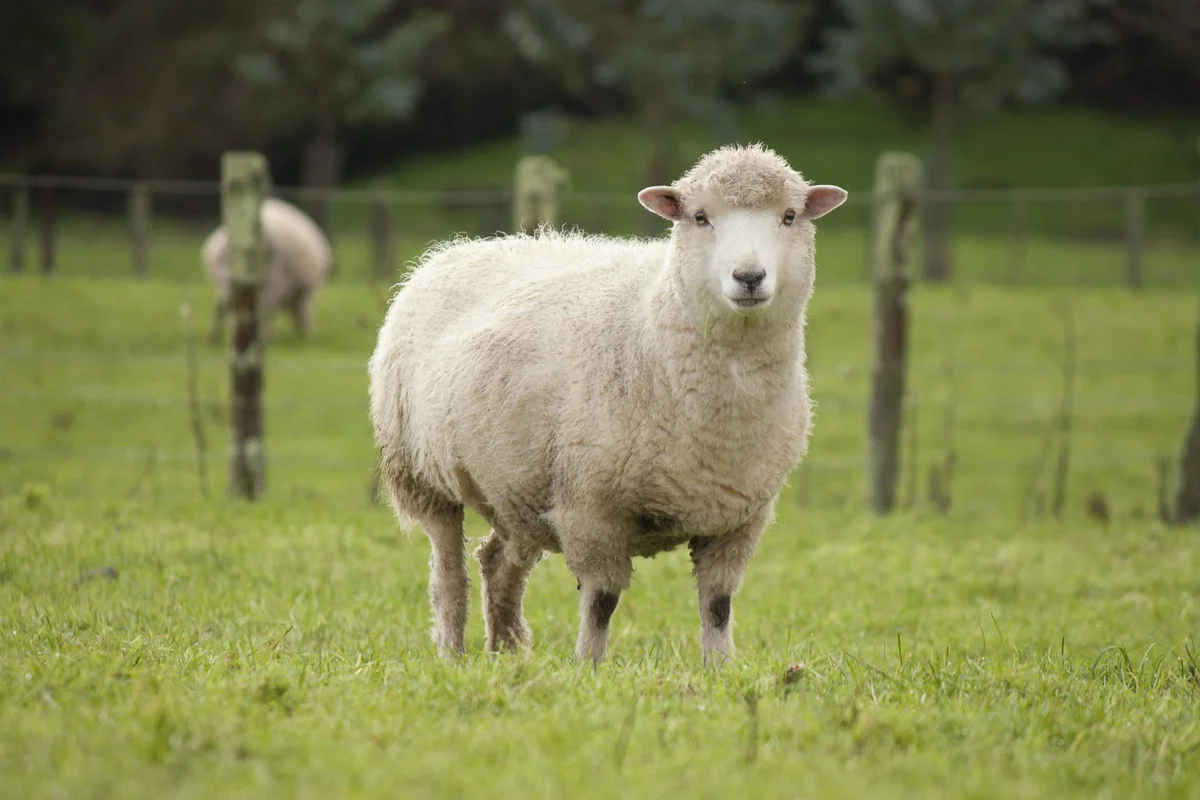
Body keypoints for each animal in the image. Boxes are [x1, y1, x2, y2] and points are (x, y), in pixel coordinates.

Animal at [202, 197, 333, 343]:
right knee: (260, 307)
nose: (305, 335)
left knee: (228, 306)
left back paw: (221, 337)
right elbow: (303, 310)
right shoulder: (301, 289)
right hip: (272, 277)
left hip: (227, 280)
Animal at [368, 143, 847, 664]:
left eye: (789, 216)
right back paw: (453, 655)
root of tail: (455, 250)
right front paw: (589, 667)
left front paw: (720, 668)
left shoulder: (739, 519)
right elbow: (601, 601)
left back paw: (507, 654)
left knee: (497, 562)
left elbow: (718, 604)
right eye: (700, 217)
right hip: (421, 475)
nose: (749, 276)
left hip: (518, 487)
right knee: (448, 575)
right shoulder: (590, 508)